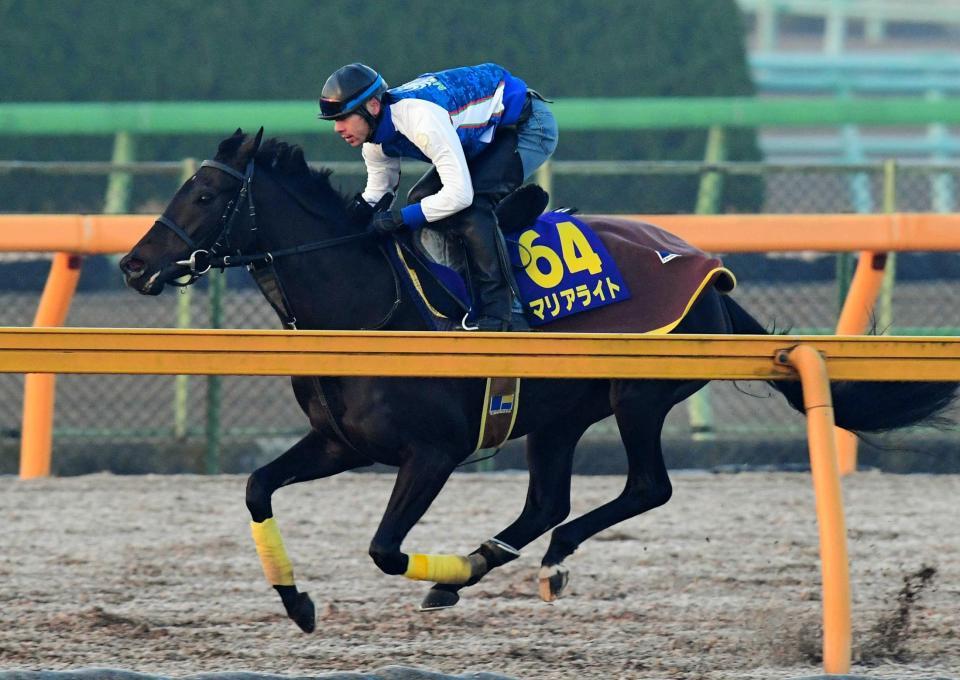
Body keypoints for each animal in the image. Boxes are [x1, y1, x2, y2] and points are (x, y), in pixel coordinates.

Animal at [118, 130, 952, 636]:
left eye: (204, 196)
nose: (131, 265)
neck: (368, 303)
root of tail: (705, 268)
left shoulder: (433, 452)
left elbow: (384, 548)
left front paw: (440, 571)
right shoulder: (340, 443)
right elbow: (257, 486)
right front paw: (297, 601)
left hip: (637, 395)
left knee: (645, 488)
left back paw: (541, 562)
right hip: (557, 415)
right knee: (549, 500)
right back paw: (487, 564)